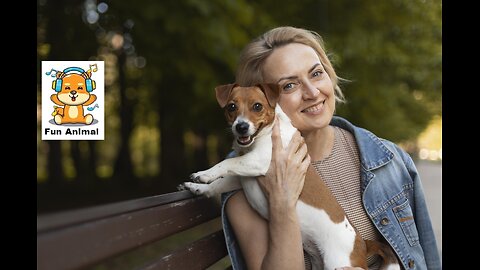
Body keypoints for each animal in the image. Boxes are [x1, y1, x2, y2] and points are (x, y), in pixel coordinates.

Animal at [180, 83, 398, 268]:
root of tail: (363, 244)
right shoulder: (242, 177)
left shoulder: (259, 161)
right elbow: (221, 182)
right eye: (231, 107)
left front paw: (205, 174)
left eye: (257, 106)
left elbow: (227, 163)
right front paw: (199, 186)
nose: (241, 127)